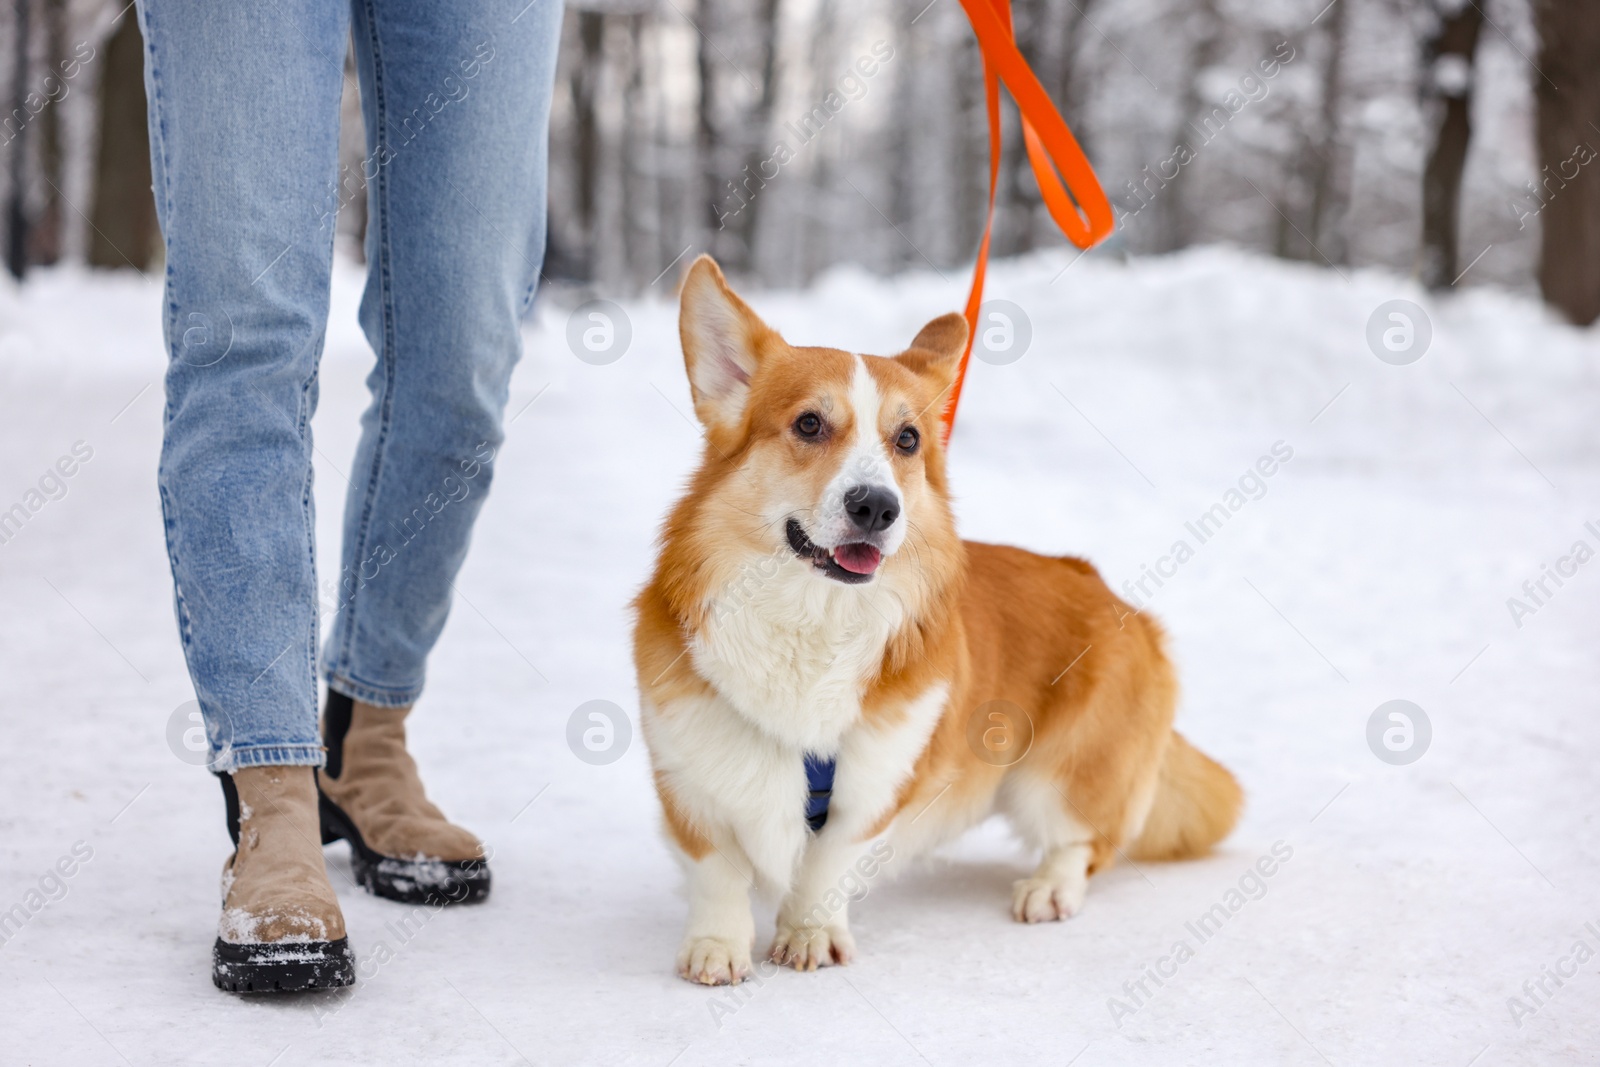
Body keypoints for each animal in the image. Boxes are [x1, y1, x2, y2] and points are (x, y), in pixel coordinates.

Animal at [630, 255, 1241, 985]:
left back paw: (1049, 889)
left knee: (1085, 841)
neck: (811, 614)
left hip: (1060, 778)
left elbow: (825, 869)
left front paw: (810, 935)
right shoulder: (690, 782)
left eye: (908, 439)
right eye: (808, 425)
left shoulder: (875, 788)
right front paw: (718, 946)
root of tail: (1121, 603)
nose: (876, 506)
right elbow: (716, 872)